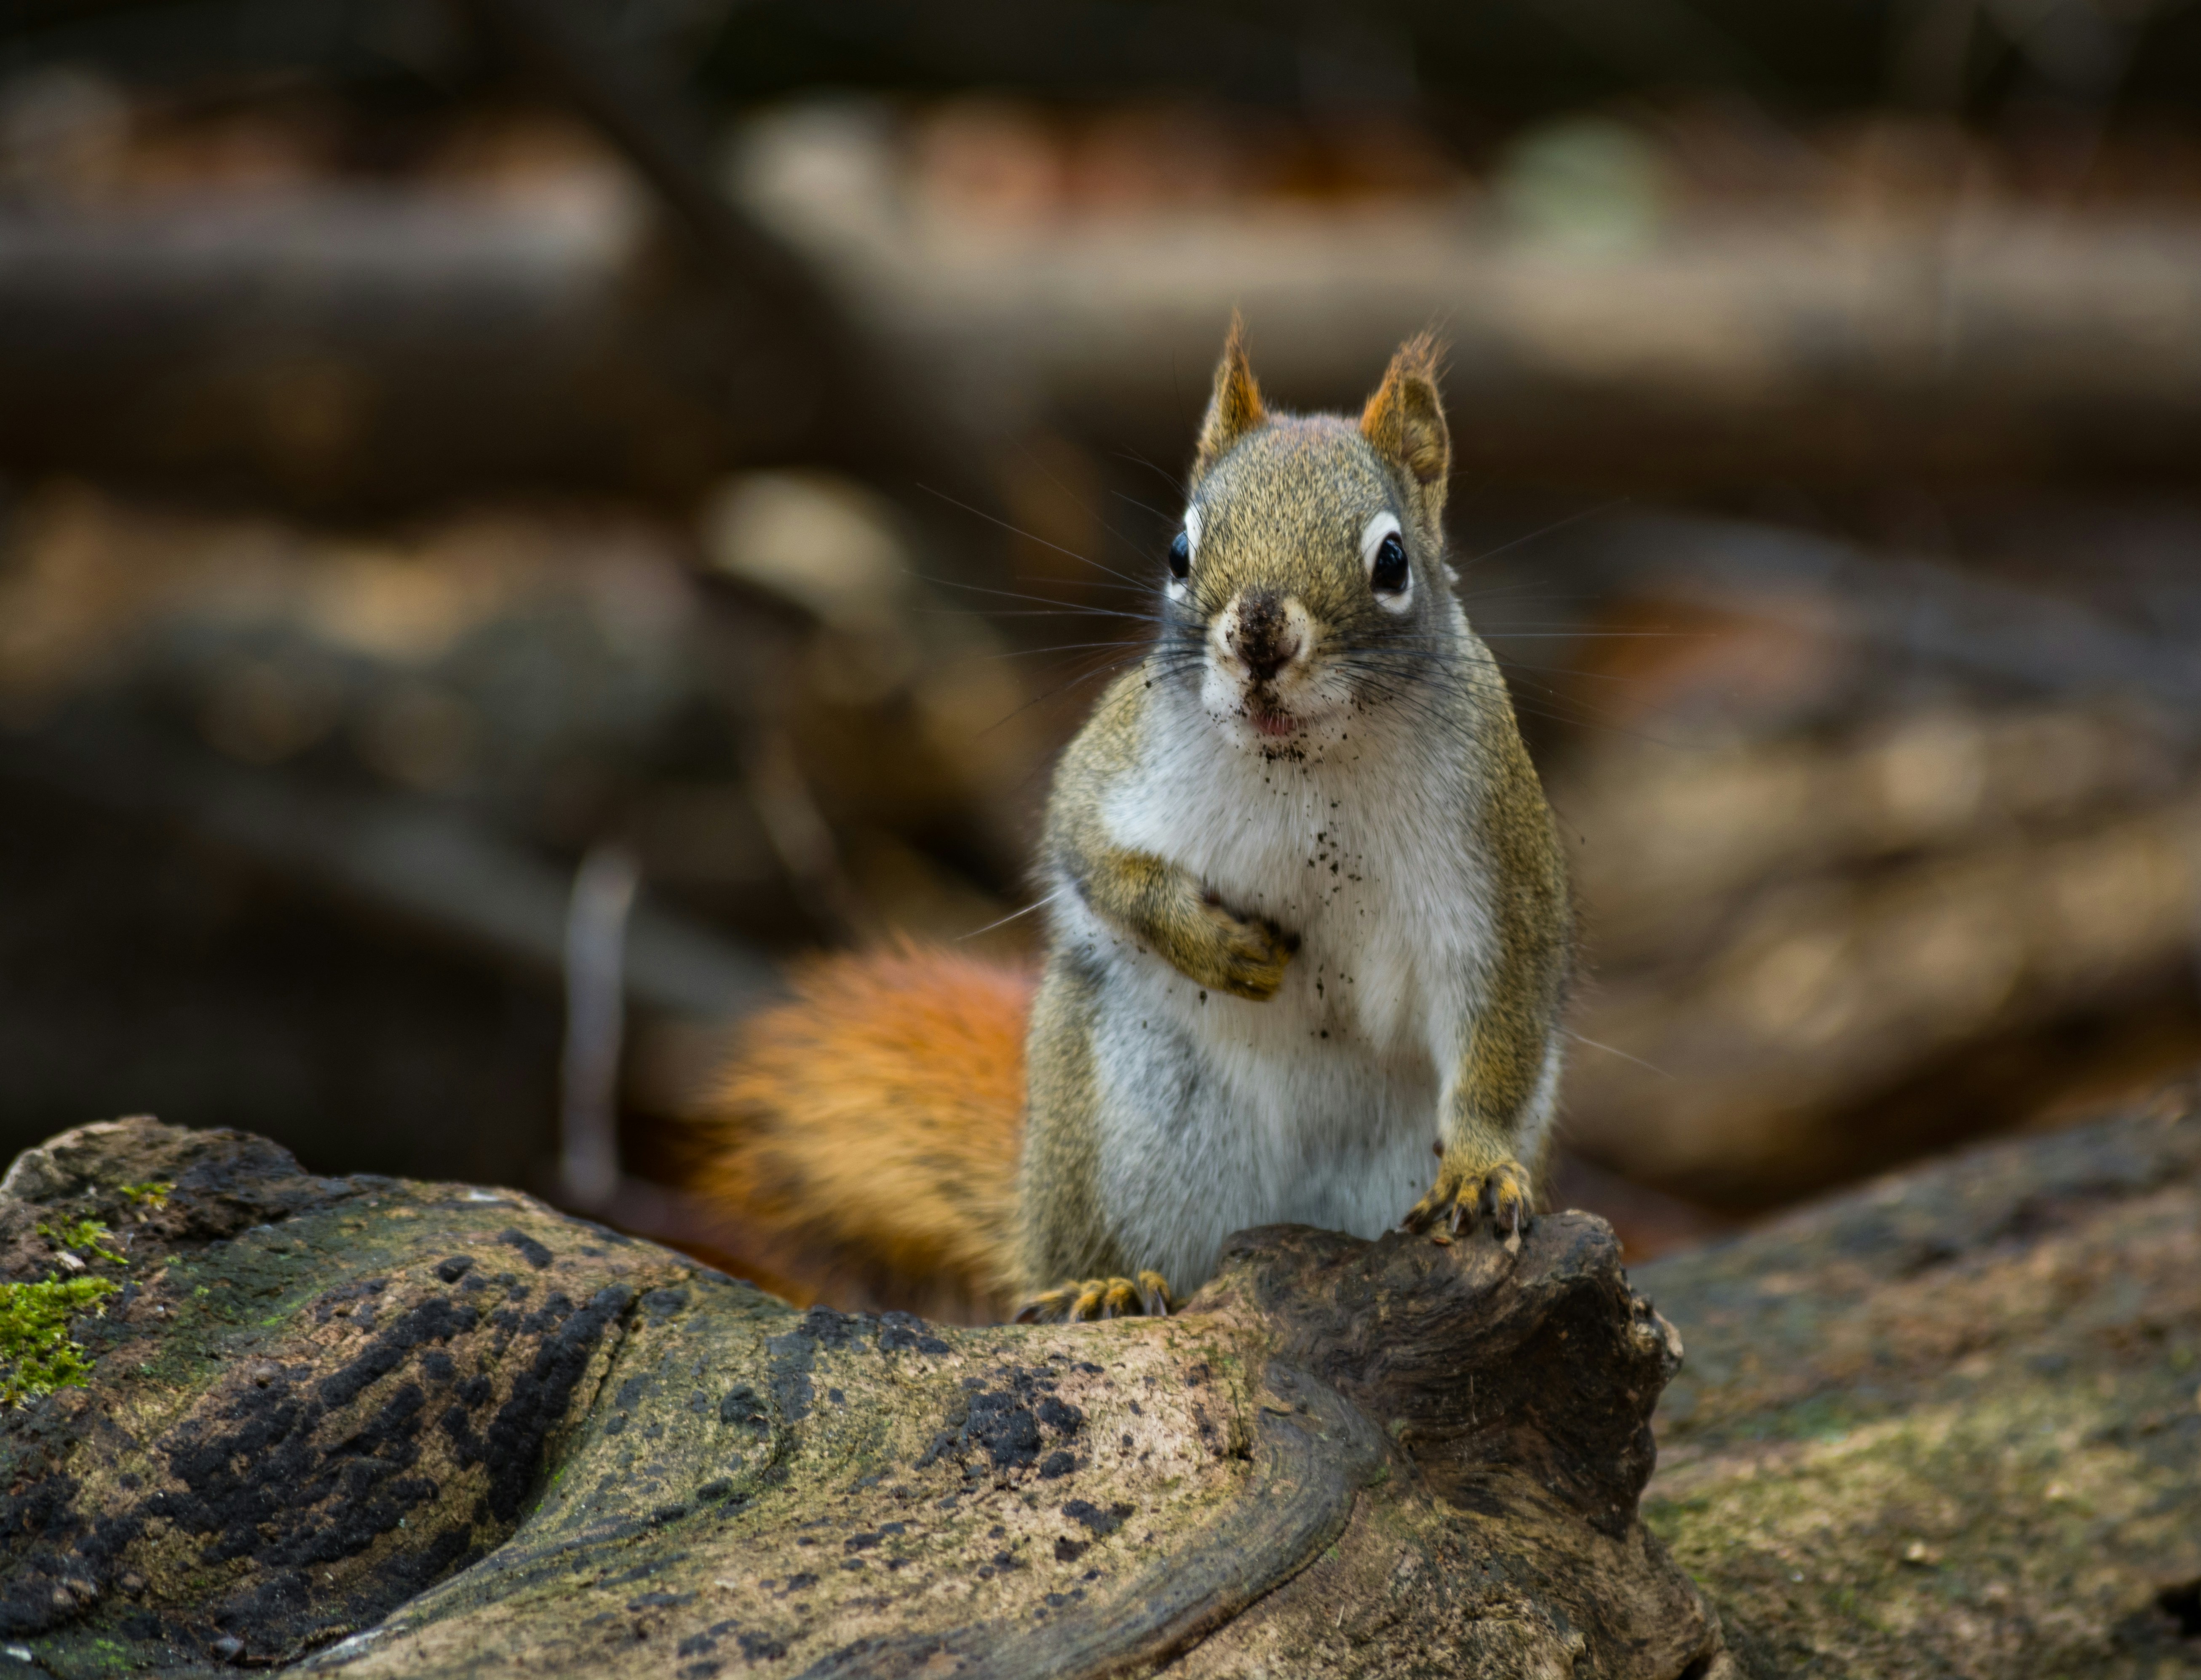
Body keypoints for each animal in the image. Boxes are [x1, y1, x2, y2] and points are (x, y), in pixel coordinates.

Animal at [692, 320, 1574, 1327]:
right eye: (1178, 550)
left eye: (1392, 562)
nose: (1258, 634)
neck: (1304, 768)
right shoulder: (1116, 764)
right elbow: (1085, 847)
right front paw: (1208, 941)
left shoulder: (1495, 865)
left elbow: (1502, 1017)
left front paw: (1478, 1167)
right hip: (1121, 1117)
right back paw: (1099, 1281)